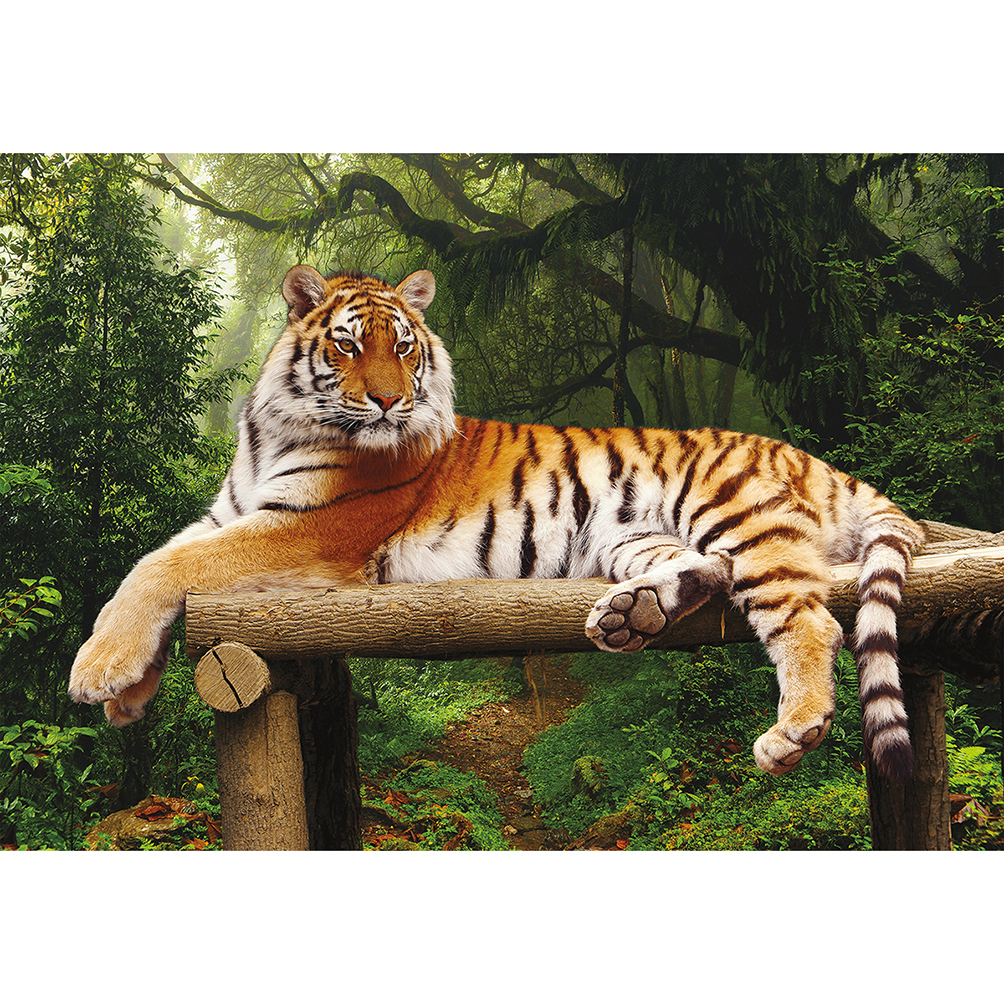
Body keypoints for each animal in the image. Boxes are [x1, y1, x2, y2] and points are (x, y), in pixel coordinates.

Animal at [69, 265, 925, 781]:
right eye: (347, 344)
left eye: (403, 346)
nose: (388, 402)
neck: (273, 429)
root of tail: (813, 457)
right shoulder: (230, 513)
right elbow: (155, 561)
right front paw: (128, 692)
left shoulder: (313, 531)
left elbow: (166, 567)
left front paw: (97, 672)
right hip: (629, 533)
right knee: (708, 571)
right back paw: (632, 614)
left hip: (734, 510)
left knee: (810, 619)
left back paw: (794, 731)